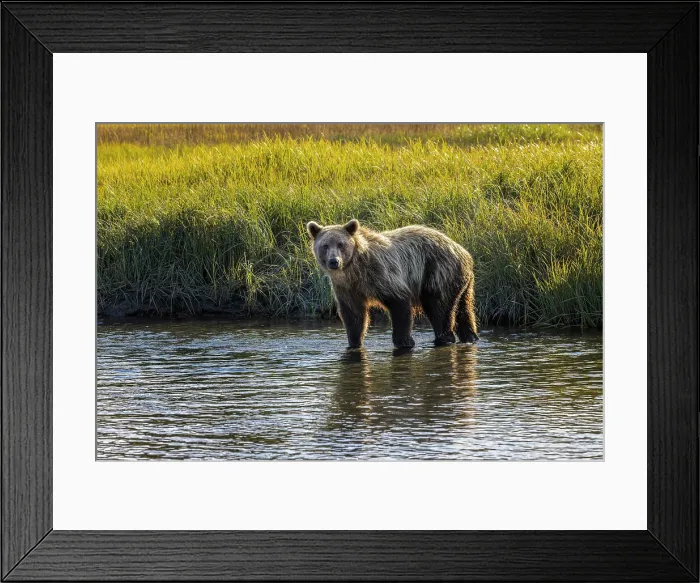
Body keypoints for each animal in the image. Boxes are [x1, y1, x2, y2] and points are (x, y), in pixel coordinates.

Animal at [306, 218, 478, 349]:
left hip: (437, 271)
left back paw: (444, 338)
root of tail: (464, 252)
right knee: (463, 309)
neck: (354, 271)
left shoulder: (381, 274)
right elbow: (354, 315)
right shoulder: (347, 288)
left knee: (438, 307)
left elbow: (399, 303)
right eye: (325, 245)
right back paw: (470, 337)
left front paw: (404, 341)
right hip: (462, 283)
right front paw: (354, 342)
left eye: (341, 244)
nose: (334, 261)